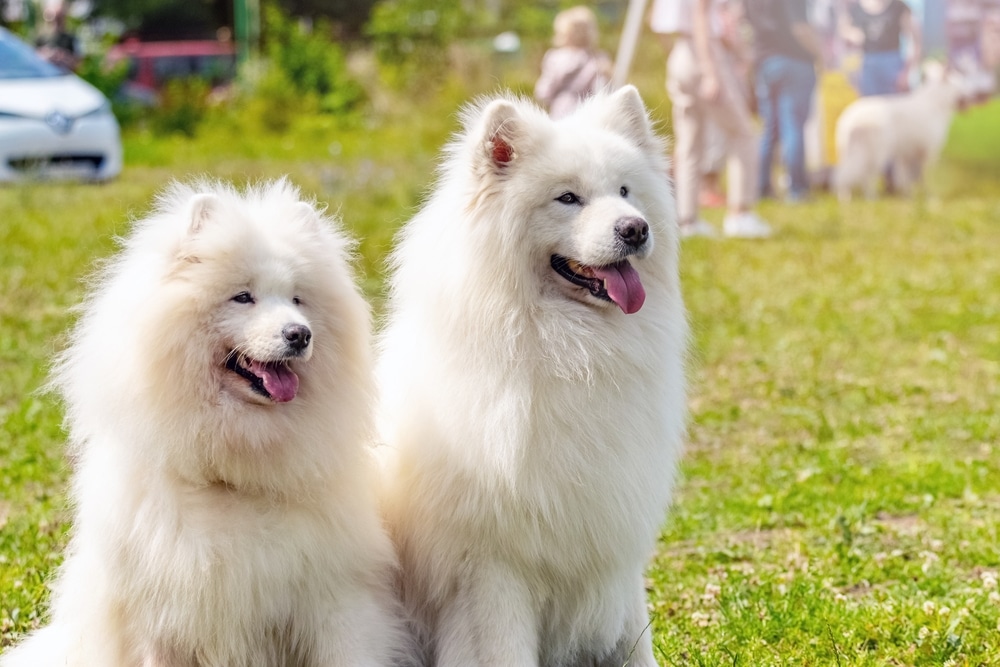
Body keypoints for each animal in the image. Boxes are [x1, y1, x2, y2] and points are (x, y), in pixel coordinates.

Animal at [1, 179, 416, 667]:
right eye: (243, 297)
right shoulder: (158, 617)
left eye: (297, 299)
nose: (300, 333)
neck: (232, 474)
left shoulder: (335, 596)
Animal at [376, 85, 688, 667]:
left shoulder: (614, 542)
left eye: (625, 191)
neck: (572, 351)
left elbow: (636, 643)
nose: (635, 228)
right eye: (567, 198)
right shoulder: (491, 568)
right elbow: (502, 649)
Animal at [832, 61, 972, 200]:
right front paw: (929, 196)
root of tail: (851, 120)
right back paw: (871, 198)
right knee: (867, 176)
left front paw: (908, 196)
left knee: (844, 173)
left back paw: (845, 197)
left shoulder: (905, 155)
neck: (935, 102)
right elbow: (926, 177)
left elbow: (905, 178)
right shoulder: (928, 152)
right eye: (961, 82)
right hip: (877, 153)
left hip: (848, 152)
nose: (971, 95)